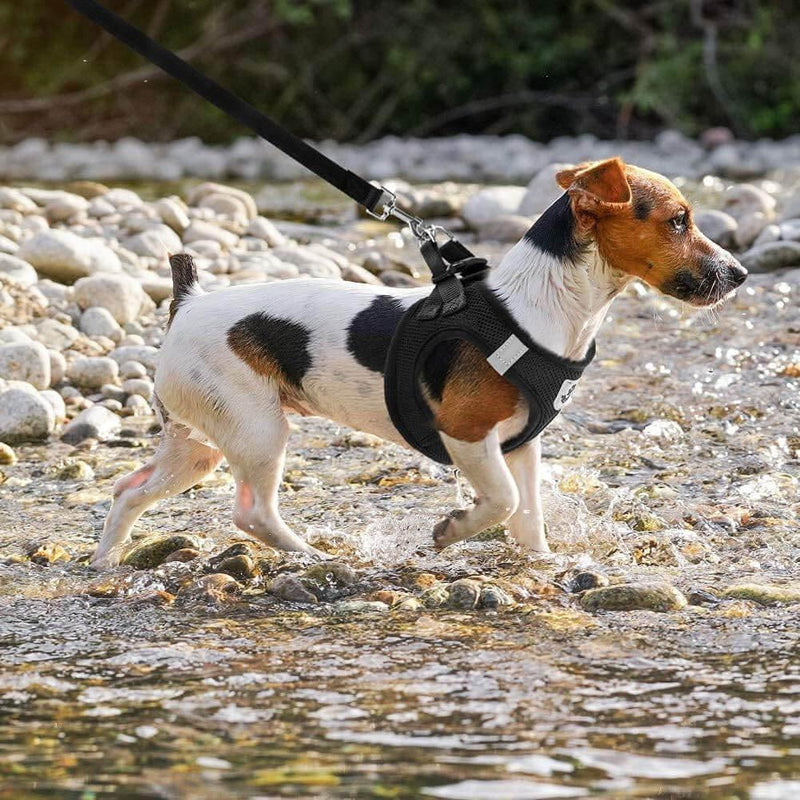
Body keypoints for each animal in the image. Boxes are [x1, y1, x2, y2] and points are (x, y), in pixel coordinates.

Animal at [90, 158, 748, 568]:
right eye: (678, 221)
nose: (740, 274)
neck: (543, 306)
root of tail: (189, 300)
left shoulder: (522, 445)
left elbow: (527, 515)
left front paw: (541, 563)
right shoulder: (467, 435)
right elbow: (502, 502)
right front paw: (453, 529)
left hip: (197, 443)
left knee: (128, 489)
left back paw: (105, 562)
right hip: (257, 432)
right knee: (250, 513)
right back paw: (309, 553)